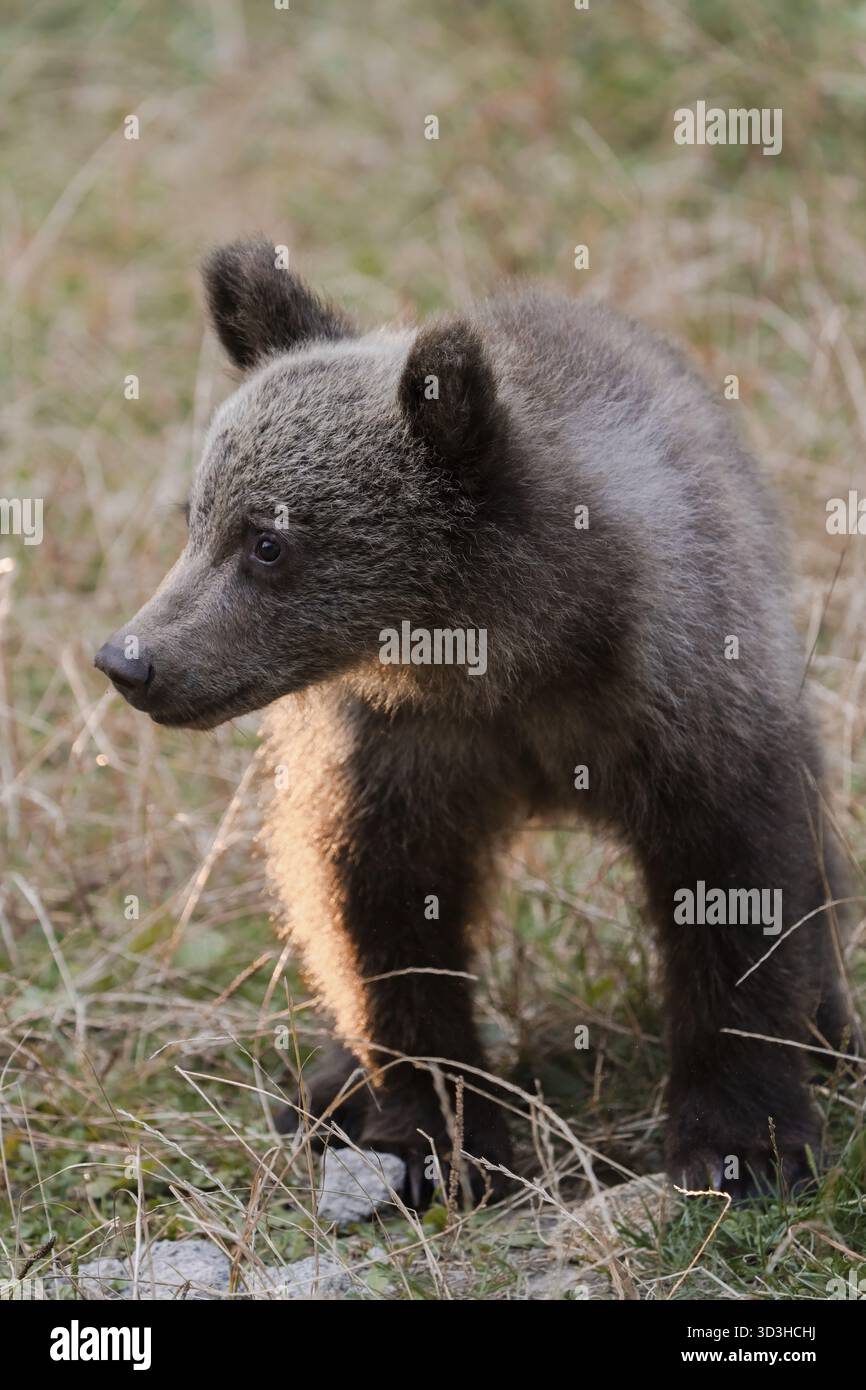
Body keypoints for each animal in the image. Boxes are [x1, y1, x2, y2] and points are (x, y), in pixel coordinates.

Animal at [95, 238, 851, 1207]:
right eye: (195, 519)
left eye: (267, 542)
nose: (132, 661)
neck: (518, 654)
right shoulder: (395, 748)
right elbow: (375, 912)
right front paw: (436, 1136)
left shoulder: (687, 710)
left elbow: (737, 890)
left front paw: (743, 1142)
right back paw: (327, 1090)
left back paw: (831, 1028)